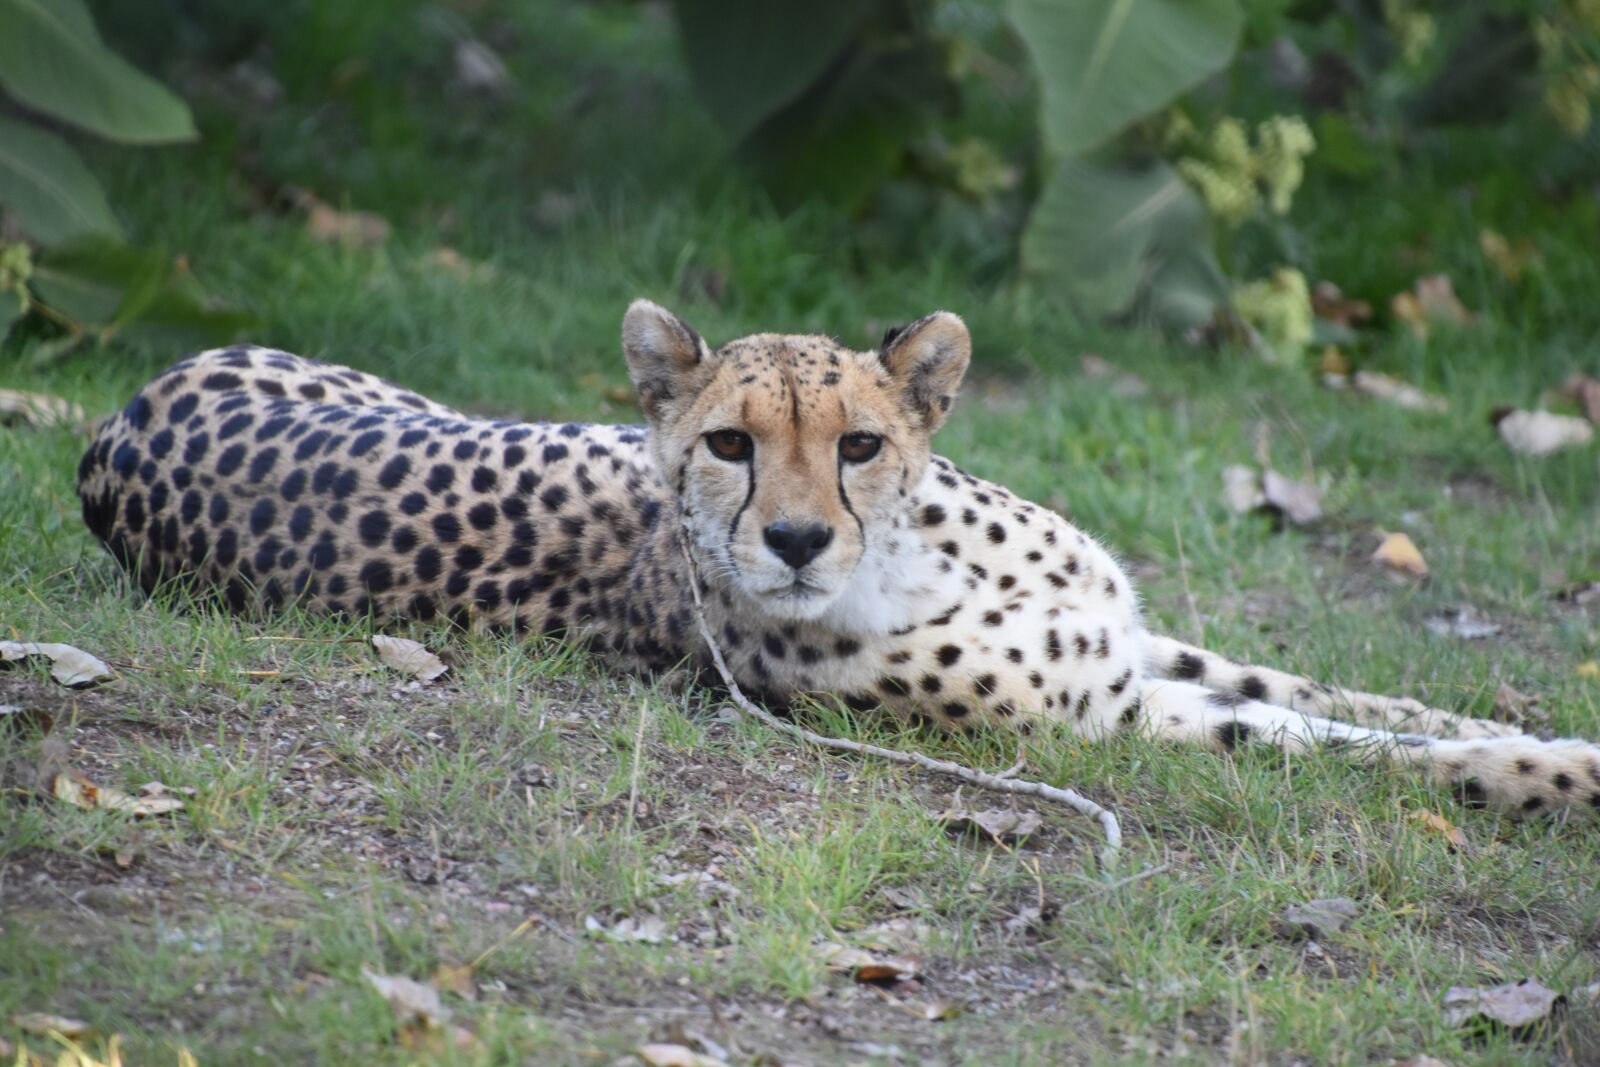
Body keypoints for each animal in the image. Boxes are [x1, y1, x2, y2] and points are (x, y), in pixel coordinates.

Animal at [77, 299, 1600, 818]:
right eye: (730, 444)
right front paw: (1552, 778)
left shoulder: (1128, 638)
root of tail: (115, 420)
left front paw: (1520, 721)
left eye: (858, 442)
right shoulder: (1110, 713)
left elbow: (1363, 698)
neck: (923, 561)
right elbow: (1347, 746)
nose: (799, 536)